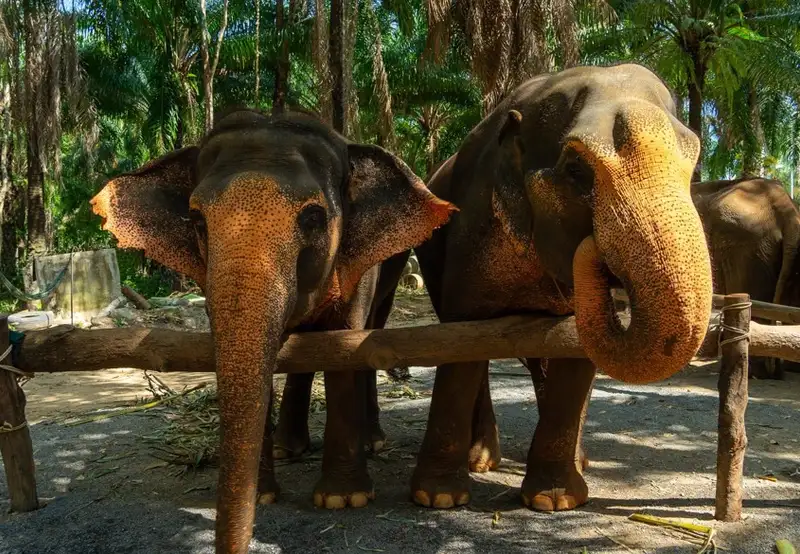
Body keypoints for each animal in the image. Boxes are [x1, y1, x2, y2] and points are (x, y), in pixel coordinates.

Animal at [89, 108, 455, 554]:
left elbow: (344, 342)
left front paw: (343, 499)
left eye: (313, 218)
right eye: (196, 220)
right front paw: (264, 495)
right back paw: (287, 448)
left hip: (394, 264)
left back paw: (371, 441)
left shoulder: (360, 266)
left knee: (373, 327)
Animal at [400, 63, 713, 512]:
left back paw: (579, 460)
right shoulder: (471, 233)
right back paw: (483, 461)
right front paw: (438, 497)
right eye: (576, 170)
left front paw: (555, 501)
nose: (593, 248)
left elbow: (574, 352)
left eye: (692, 165)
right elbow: (461, 345)